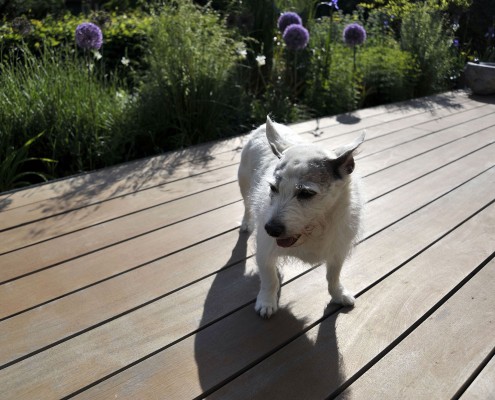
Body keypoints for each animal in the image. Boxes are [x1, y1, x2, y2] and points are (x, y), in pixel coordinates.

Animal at [238, 115, 366, 318]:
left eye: (306, 193)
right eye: (273, 188)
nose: (271, 229)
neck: (313, 231)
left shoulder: (338, 251)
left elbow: (333, 276)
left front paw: (338, 294)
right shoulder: (264, 250)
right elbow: (269, 278)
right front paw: (266, 301)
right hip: (243, 185)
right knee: (246, 206)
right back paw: (245, 222)